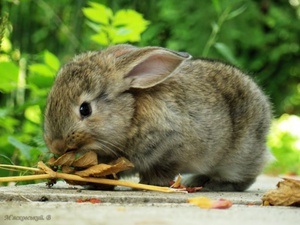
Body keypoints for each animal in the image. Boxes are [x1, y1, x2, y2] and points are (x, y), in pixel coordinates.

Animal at [42, 44, 272, 192]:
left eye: (85, 109)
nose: (56, 146)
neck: (131, 116)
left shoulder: (171, 148)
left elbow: (161, 170)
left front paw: (149, 184)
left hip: (239, 156)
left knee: (245, 176)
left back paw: (214, 184)